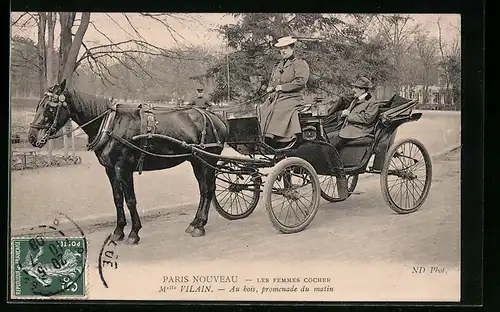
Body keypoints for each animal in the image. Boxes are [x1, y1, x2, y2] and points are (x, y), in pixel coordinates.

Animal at [28, 80, 228, 244]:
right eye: (38, 105)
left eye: (50, 108)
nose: (31, 137)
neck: (110, 125)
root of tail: (217, 118)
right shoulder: (110, 170)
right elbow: (118, 199)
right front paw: (118, 231)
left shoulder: (123, 169)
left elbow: (130, 200)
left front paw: (134, 232)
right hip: (196, 161)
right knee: (203, 189)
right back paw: (195, 223)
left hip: (207, 160)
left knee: (208, 190)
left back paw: (200, 226)